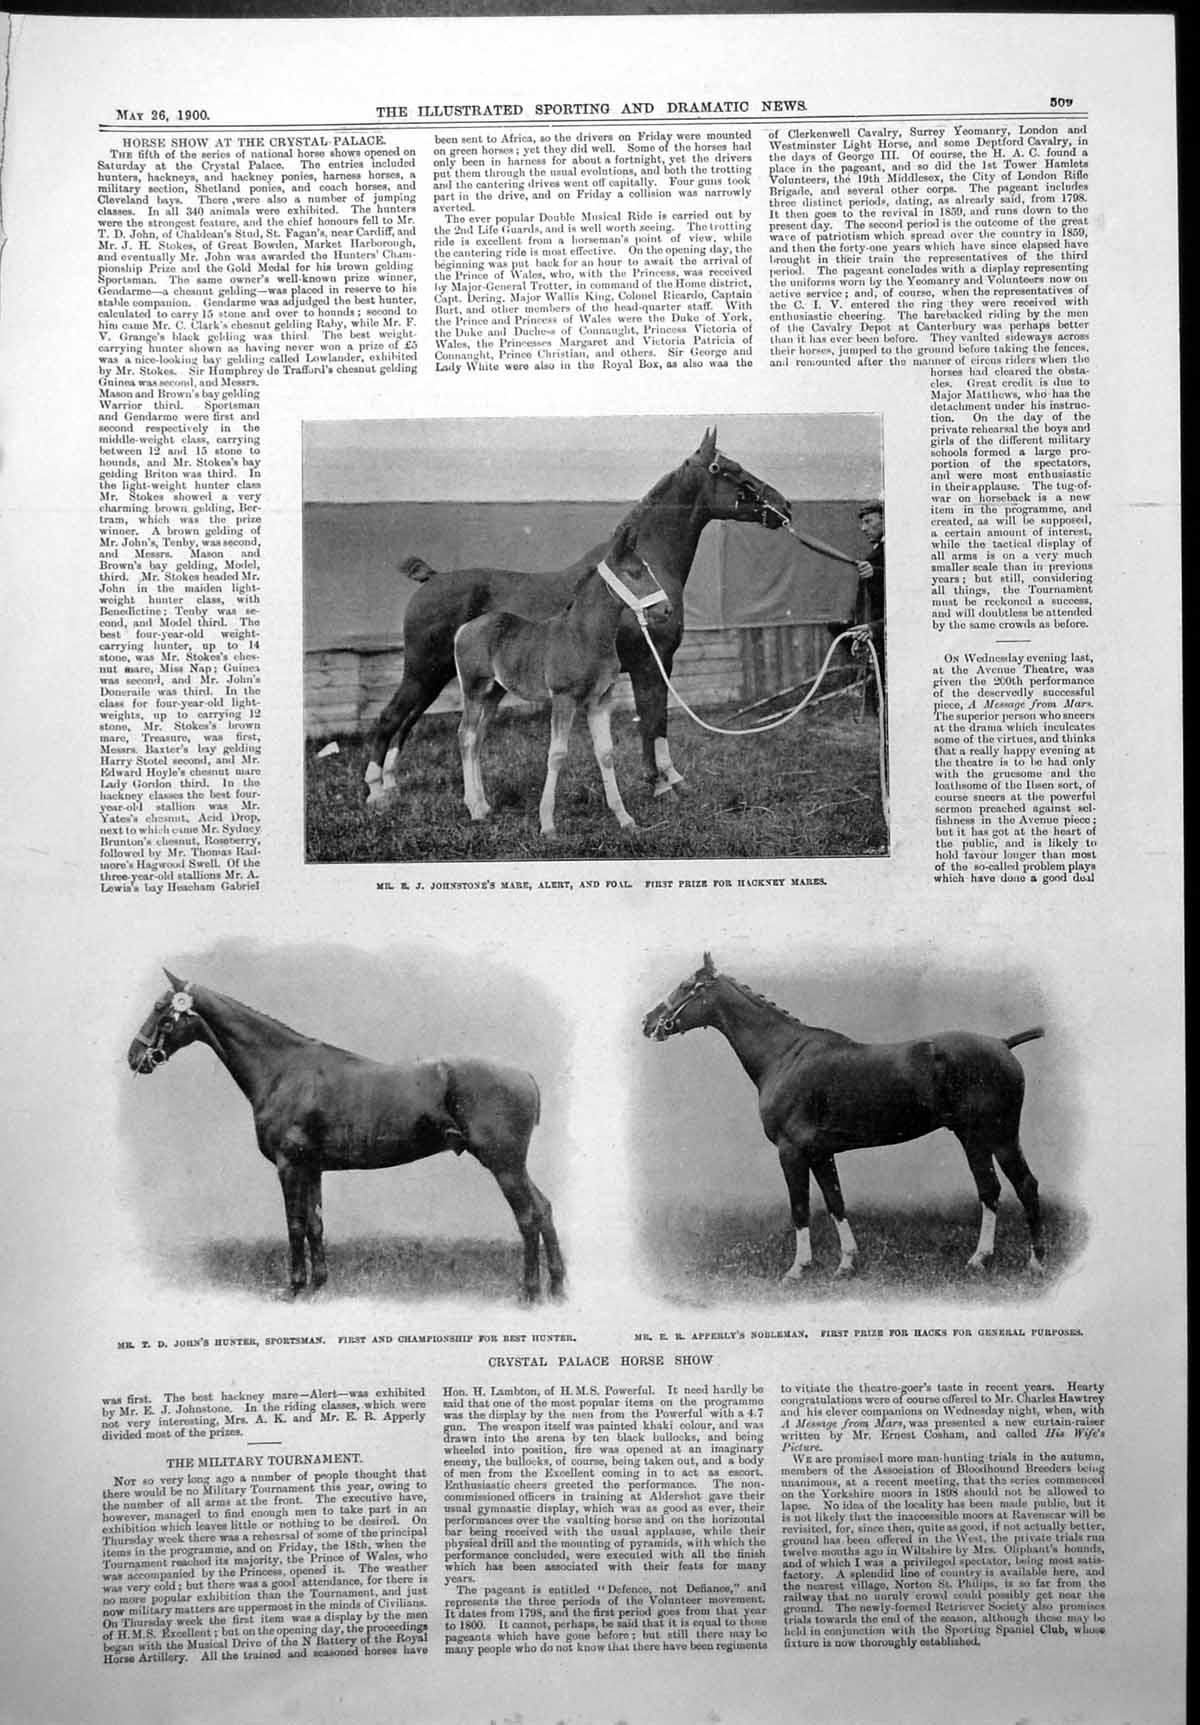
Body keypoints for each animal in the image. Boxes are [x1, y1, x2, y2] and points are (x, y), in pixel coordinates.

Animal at [127, 973, 565, 1301]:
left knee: (528, 1216)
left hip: (503, 1164)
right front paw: (319, 1285)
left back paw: (530, 1292)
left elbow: (295, 1225)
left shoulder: (290, 1165)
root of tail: (525, 1076)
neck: (283, 1069)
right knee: (543, 1208)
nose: (134, 1057)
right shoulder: (313, 1168)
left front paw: (294, 1288)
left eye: (160, 1009)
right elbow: (316, 1224)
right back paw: (558, 1287)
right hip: (512, 1165)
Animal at [454, 516, 671, 838]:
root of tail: (464, 628)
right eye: (634, 573)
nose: (667, 609)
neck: (584, 637)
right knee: (466, 736)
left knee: (478, 738)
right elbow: (556, 754)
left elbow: (606, 753)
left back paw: (484, 805)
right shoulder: (564, 698)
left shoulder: (600, 700)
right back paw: (474, 809)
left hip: (494, 693)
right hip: (474, 690)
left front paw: (625, 818)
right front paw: (547, 824)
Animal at [642, 954, 1046, 1279]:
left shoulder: (791, 1152)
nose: (647, 1021)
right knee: (990, 1190)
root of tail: (1002, 1043)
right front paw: (847, 1263)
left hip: (997, 1135)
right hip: (974, 1137)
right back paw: (980, 1260)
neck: (784, 1055)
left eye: (686, 986)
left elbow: (800, 1208)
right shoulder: (821, 1153)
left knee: (1023, 1185)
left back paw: (1035, 1263)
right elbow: (836, 1202)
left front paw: (798, 1269)